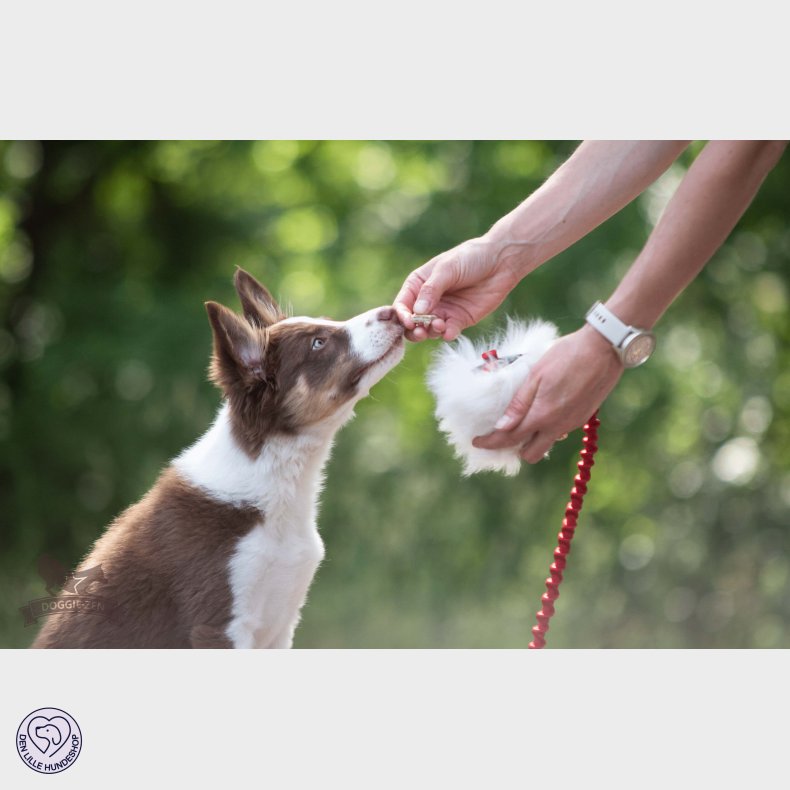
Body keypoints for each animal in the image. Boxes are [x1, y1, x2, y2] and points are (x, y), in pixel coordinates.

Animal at [33, 272, 406, 648]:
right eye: (319, 343)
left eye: (328, 323)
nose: (392, 312)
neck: (279, 477)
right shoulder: (218, 624)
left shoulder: (282, 624)